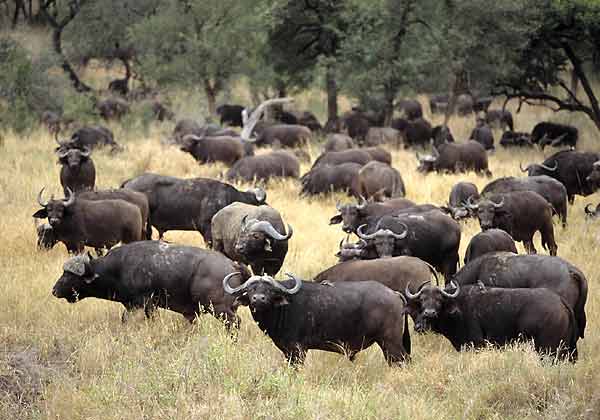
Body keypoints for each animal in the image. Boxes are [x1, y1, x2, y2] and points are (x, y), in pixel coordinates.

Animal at [224, 274, 412, 366]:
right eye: (251, 289)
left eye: (269, 290)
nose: (258, 299)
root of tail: (393, 293)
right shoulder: (287, 351)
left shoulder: (298, 351)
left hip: (391, 343)